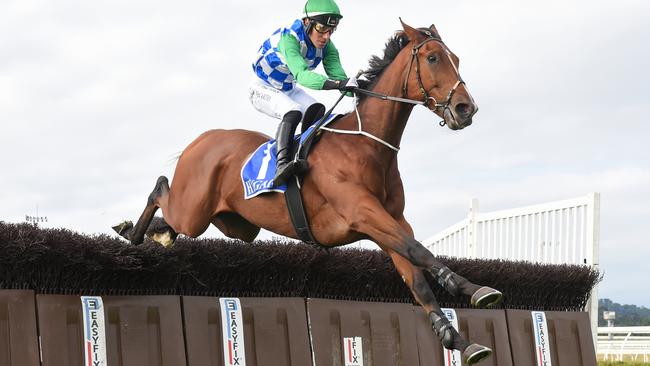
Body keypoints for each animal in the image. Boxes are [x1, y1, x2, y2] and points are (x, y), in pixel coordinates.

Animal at [116, 20, 498, 366]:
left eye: (456, 59)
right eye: (433, 58)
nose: (466, 109)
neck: (366, 145)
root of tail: (201, 140)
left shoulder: (391, 221)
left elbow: (414, 275)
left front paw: (459, 340)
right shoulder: (363, 212)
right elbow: (418, 250)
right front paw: (475, 290)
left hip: (235, 225)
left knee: (172, 216)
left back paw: (158, 234)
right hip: (193, 213)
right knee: (161, 188)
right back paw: (131, 232)